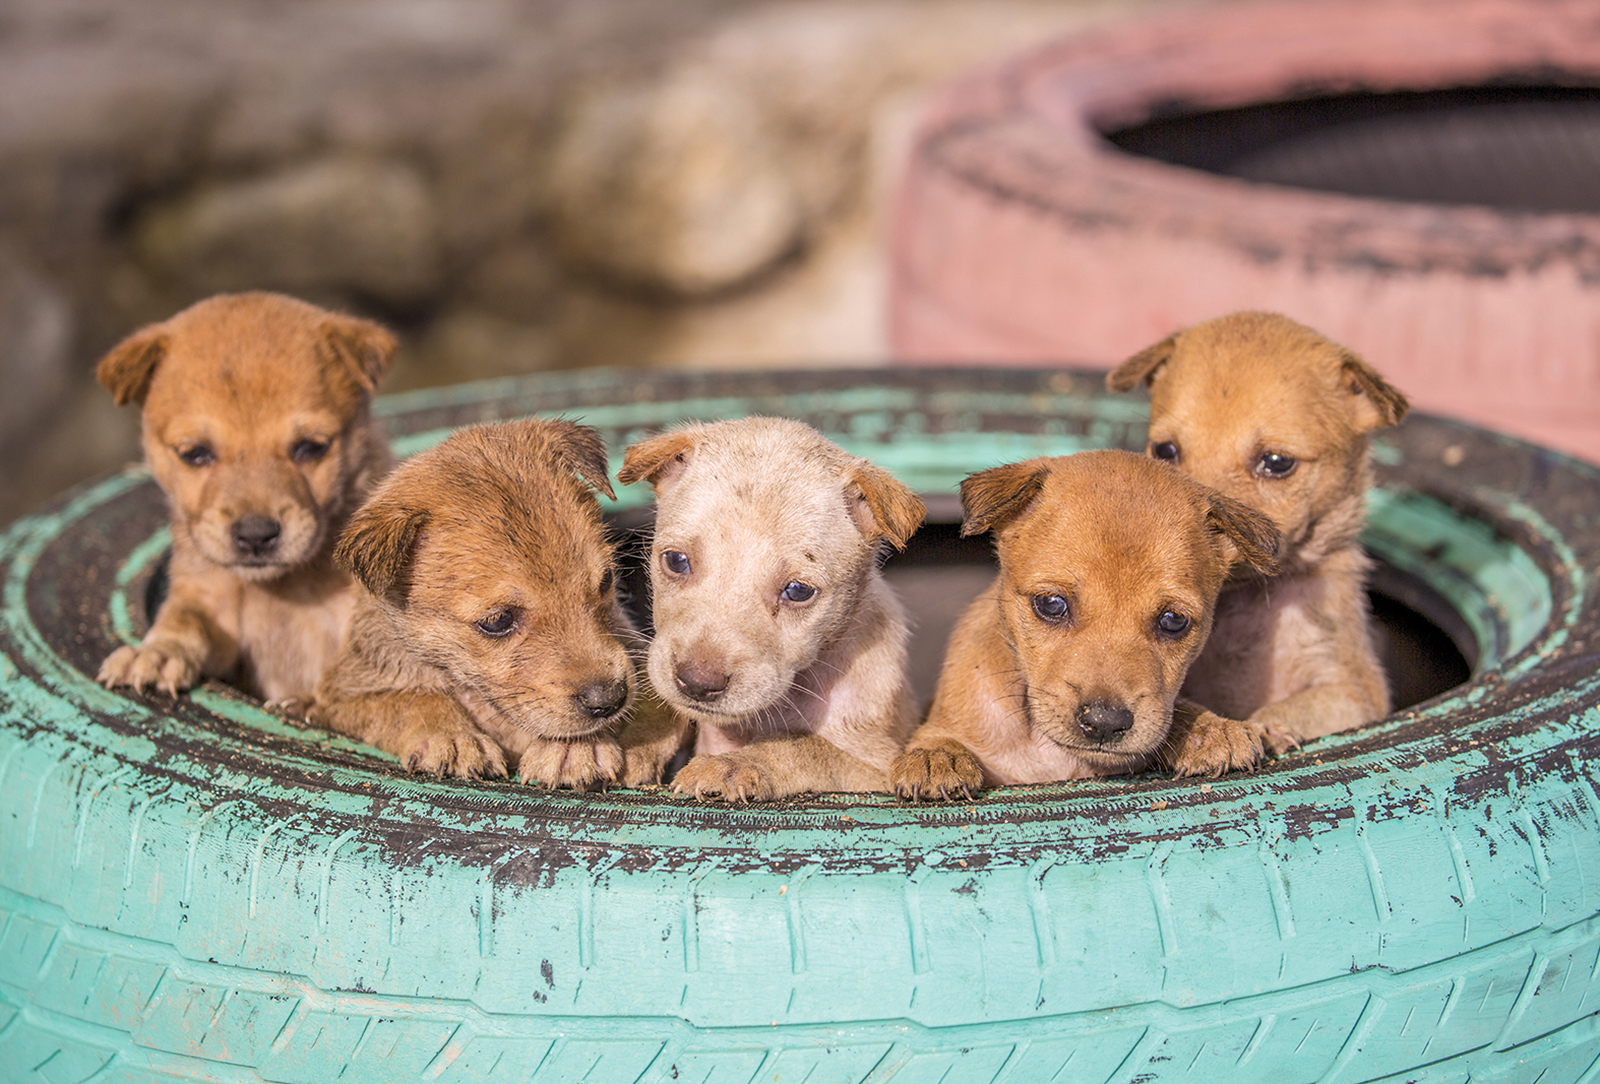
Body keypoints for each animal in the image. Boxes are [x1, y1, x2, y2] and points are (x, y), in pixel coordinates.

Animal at [96, 292, 396, 709]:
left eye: (310, 447)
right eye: (195, 453)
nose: (255, 536)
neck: (282, 589)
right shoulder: (210, 601)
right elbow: (183, 619)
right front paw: (155, 653)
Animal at [310, 418, 643, 789]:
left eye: (606, 580)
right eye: (498, 621)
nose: (609, 699)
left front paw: (575, 748)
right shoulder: (341, 695)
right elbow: (411, 699)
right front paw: (452, 737)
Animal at [614, 418, 928, 802]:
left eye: (798, 591)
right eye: (675, 561)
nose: (698, 684)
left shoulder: (878, 769)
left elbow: (805, 746)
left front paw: (733, 765)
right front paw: (627, 741)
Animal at [889, 447, 1273, 799]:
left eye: (1174, 620)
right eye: (1052, 604)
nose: (1104, 723)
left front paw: (1207, 727)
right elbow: (940, 736)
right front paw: (936, 755)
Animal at [1107, 314, 1408, 754]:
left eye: (1277, 462)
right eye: (1165, 451)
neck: (1243, 608)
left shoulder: (1353, 689)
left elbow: (1295, 706)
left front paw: (1267, 726)